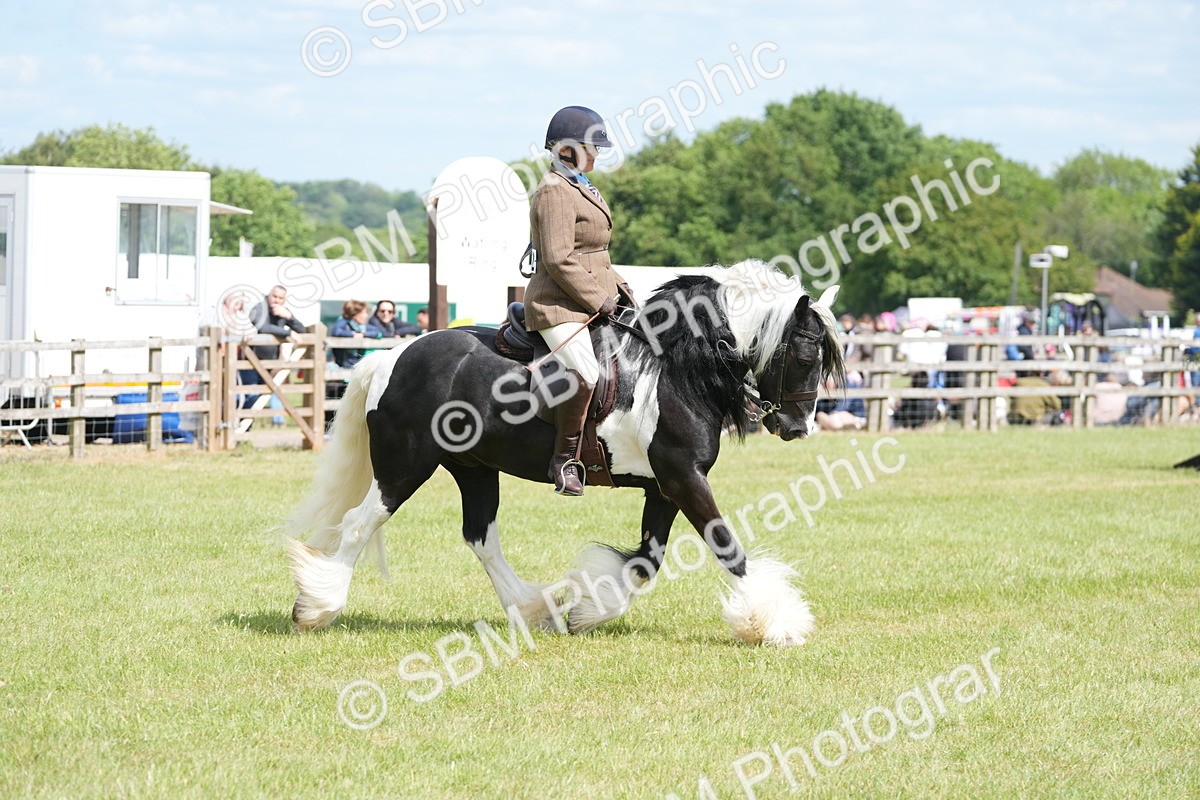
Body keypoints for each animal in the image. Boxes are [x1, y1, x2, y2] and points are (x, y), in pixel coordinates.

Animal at [284, 259, 845, 645]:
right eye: (804, 356)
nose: (798, 427)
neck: (674, 369)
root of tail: (391, 357)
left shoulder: (665, 486)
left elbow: (646, 562)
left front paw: (588, 610)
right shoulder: (684, 478)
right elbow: (727, 547)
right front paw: (774, 622)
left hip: (474, 468)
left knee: (481, 537)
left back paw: (533, 610)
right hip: (404, 467)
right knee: (358, 524)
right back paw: (317, 607)